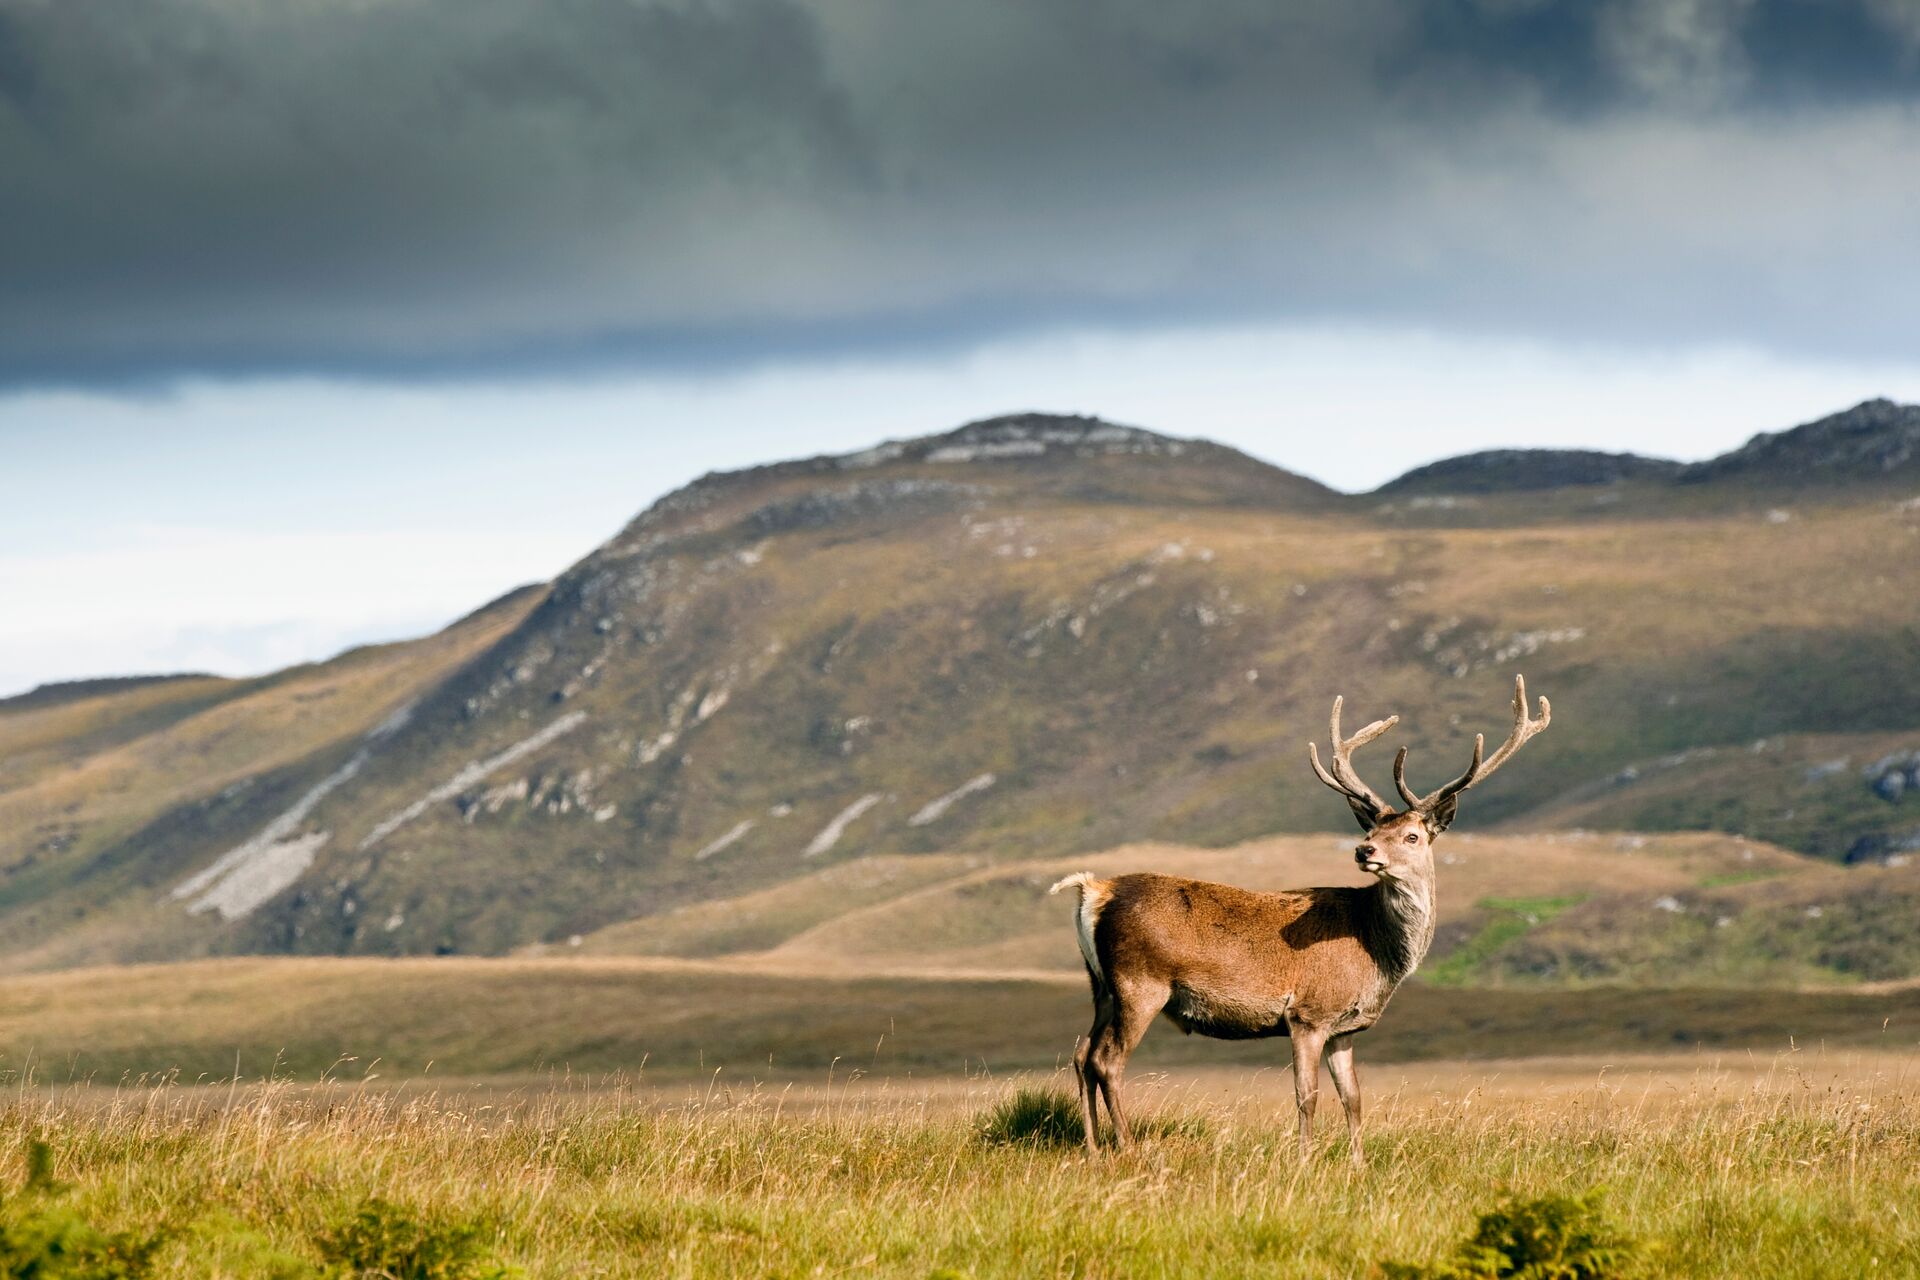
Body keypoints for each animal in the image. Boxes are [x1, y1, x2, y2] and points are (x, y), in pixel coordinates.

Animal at [1050, 675, 1549, 1164]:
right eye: (1371, 829)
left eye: (1411, 836)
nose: (1364, 850)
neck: (1376, 950)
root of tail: (1093, 891)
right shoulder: (1307, 1013)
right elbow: (1306, 1095)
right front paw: (1306, 1162)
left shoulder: (1343, 1027)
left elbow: (1353, 1097)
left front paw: (1358, 1165)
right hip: (1141, 982)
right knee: (1107, 1060)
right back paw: (1129, 1148)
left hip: (1101, 986)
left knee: (1081, 1053)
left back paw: (1093, 1150)